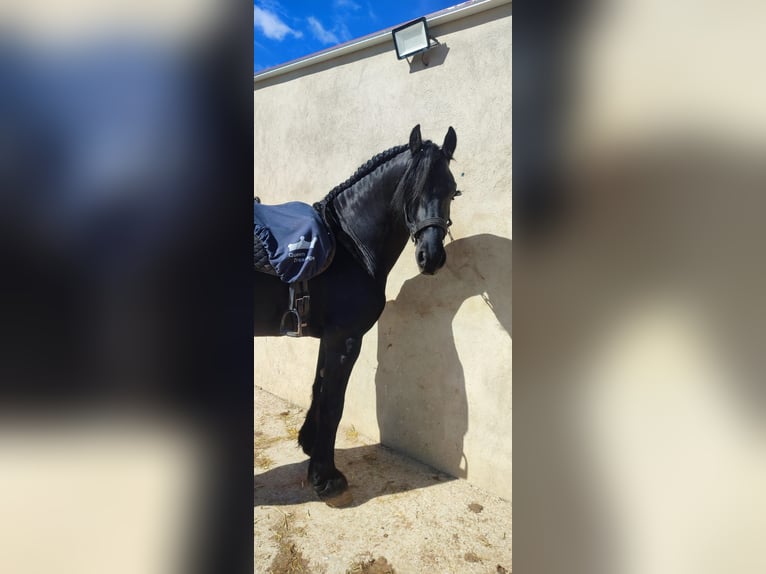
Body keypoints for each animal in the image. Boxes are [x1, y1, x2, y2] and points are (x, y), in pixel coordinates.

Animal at [254, 124, 459, 504]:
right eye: (412, 190)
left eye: (453, 190)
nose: (432, 258)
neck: (349, 246)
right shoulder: (346, 338)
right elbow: (334, 402)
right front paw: (326, 478)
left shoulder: (330, 337)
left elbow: (320, 387)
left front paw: (310, 446)